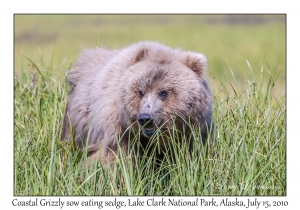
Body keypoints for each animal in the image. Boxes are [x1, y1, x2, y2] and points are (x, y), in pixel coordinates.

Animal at [62, 40, 213, 166]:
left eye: (163, 92)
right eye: (140, 91)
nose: (146, 118)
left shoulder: (189, 132)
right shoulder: (120, 131)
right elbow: (114, 159)